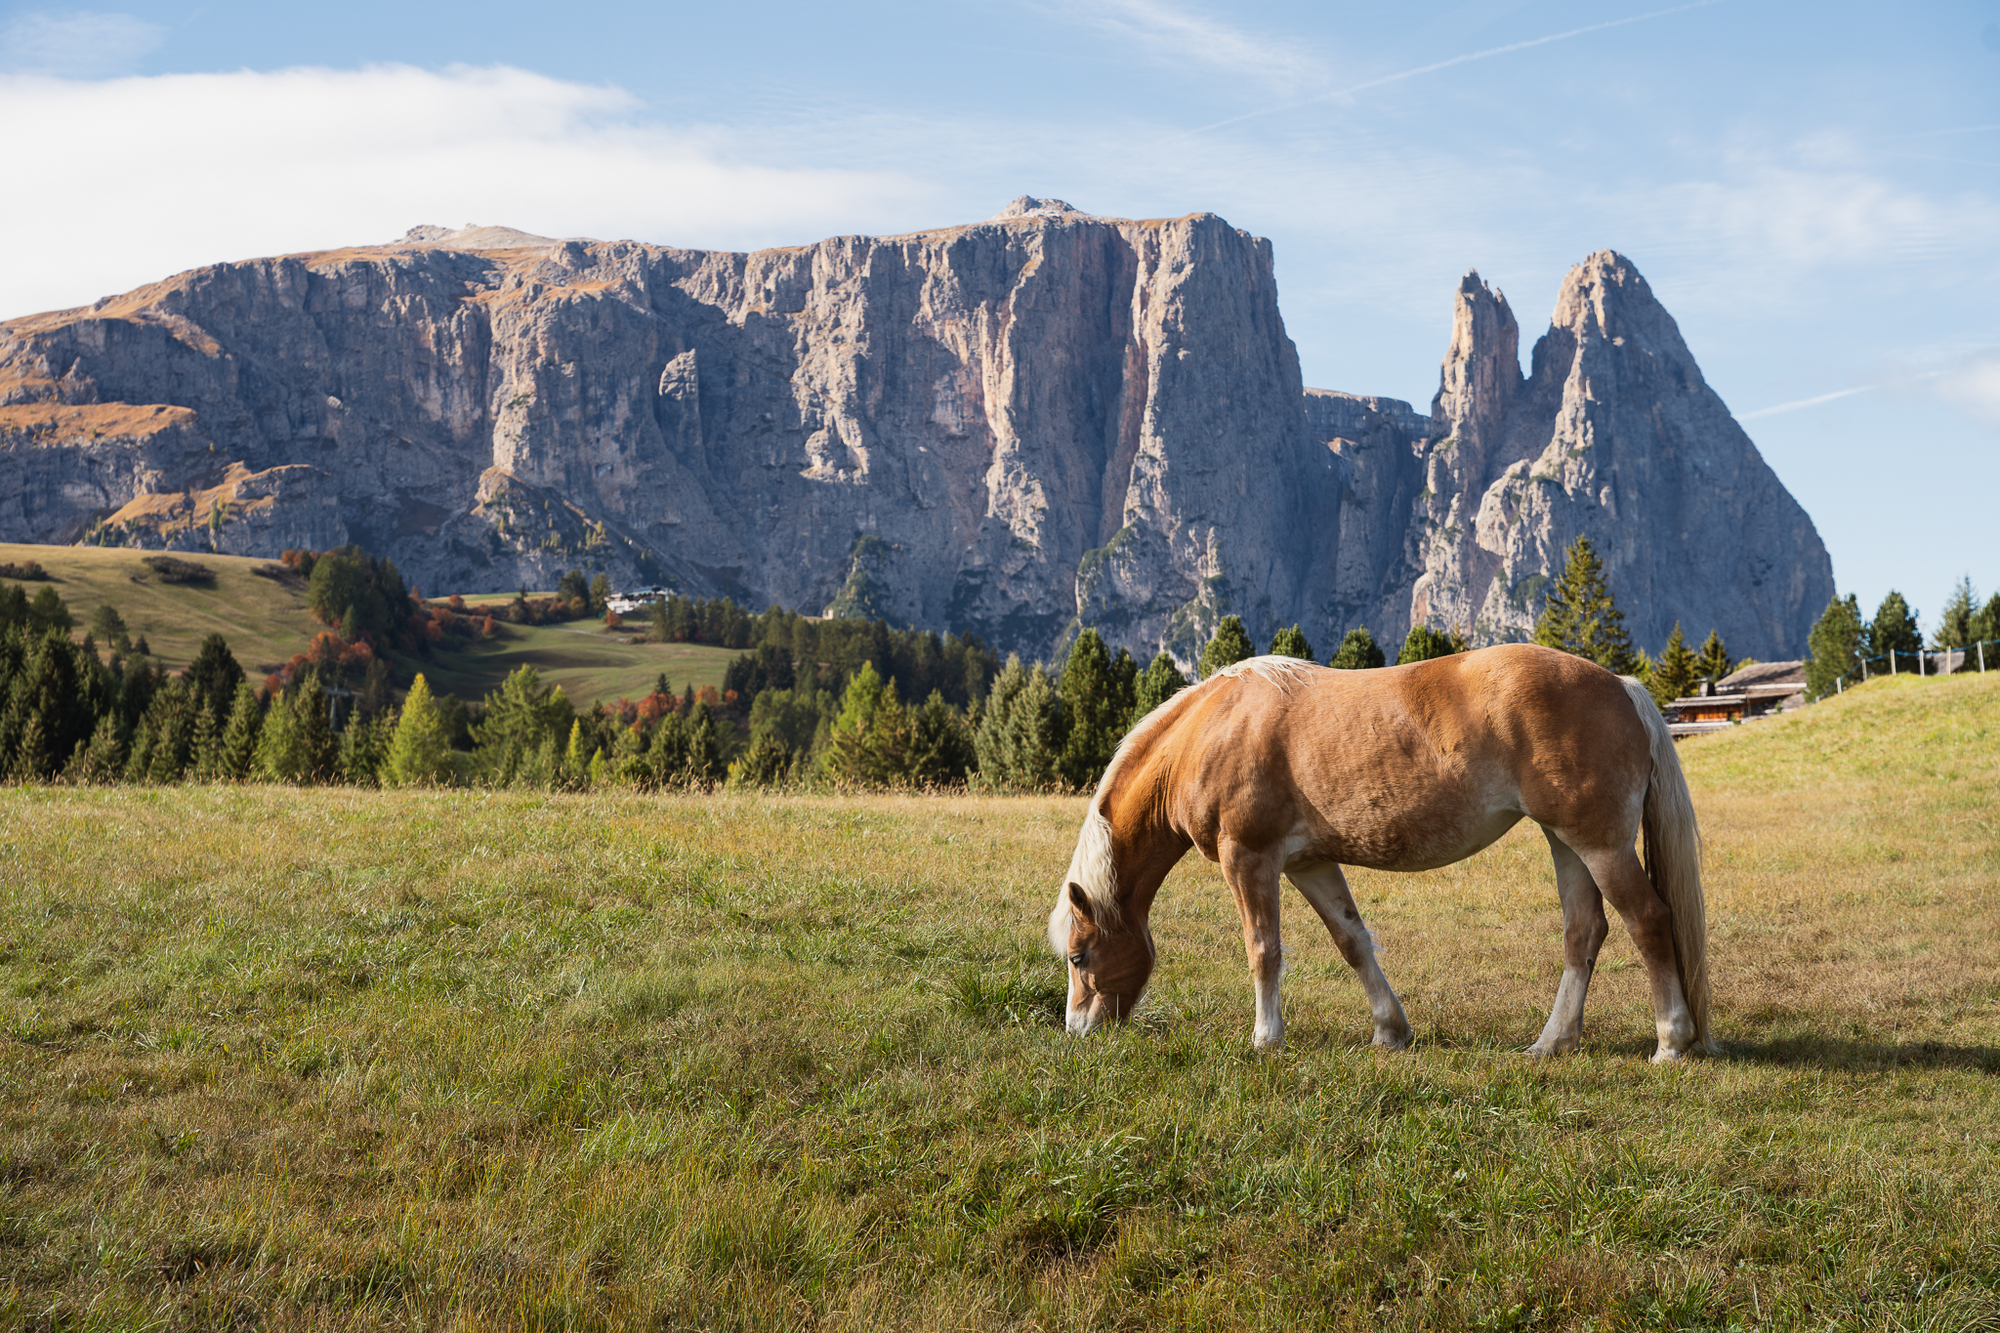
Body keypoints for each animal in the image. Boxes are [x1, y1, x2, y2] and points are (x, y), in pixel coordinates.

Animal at [1047, 643, 1715, 1062]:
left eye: (1080, 957)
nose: (1077, 1030)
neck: (1211, 730)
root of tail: (1622, 687)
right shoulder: (1309, 863)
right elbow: (1352, 941)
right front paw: (1390, 1030)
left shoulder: (1249, 859)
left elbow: (1263, 950)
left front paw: (1266, 1039)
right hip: (1566, 843)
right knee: (1584, 932)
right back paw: (1551, 1043)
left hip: (1600, 845)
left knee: (1648, 920)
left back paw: (1671, 1042)